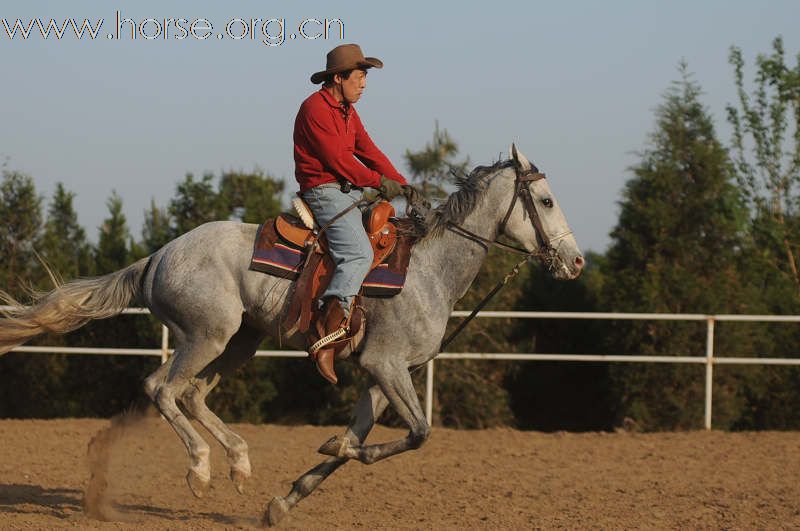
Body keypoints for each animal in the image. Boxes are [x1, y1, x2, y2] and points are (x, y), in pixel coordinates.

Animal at [0, 143, 580, 524]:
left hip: (238, 342)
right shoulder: (385, 366)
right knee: (161, 388)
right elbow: (416, 434)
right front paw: (331, 451)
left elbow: (359, 438)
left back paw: (238, 463)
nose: (574, 262)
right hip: (206, 336)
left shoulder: (383, 377)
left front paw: (286, 498)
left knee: (192, 393)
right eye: (547, 201)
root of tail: (158, 256)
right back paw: (201, 470)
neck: (427, 269)